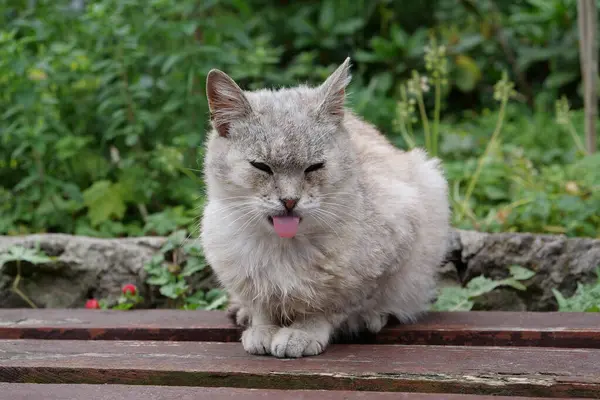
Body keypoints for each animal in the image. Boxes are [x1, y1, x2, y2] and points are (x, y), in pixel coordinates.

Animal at [202, 57, 450, 360]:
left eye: (314, 167)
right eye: (261, 167)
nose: (289, 201)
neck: (285, 248)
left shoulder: (388, 255)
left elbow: (326, 307)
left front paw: (302, 333)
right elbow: (261, 306)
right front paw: (262, 329)